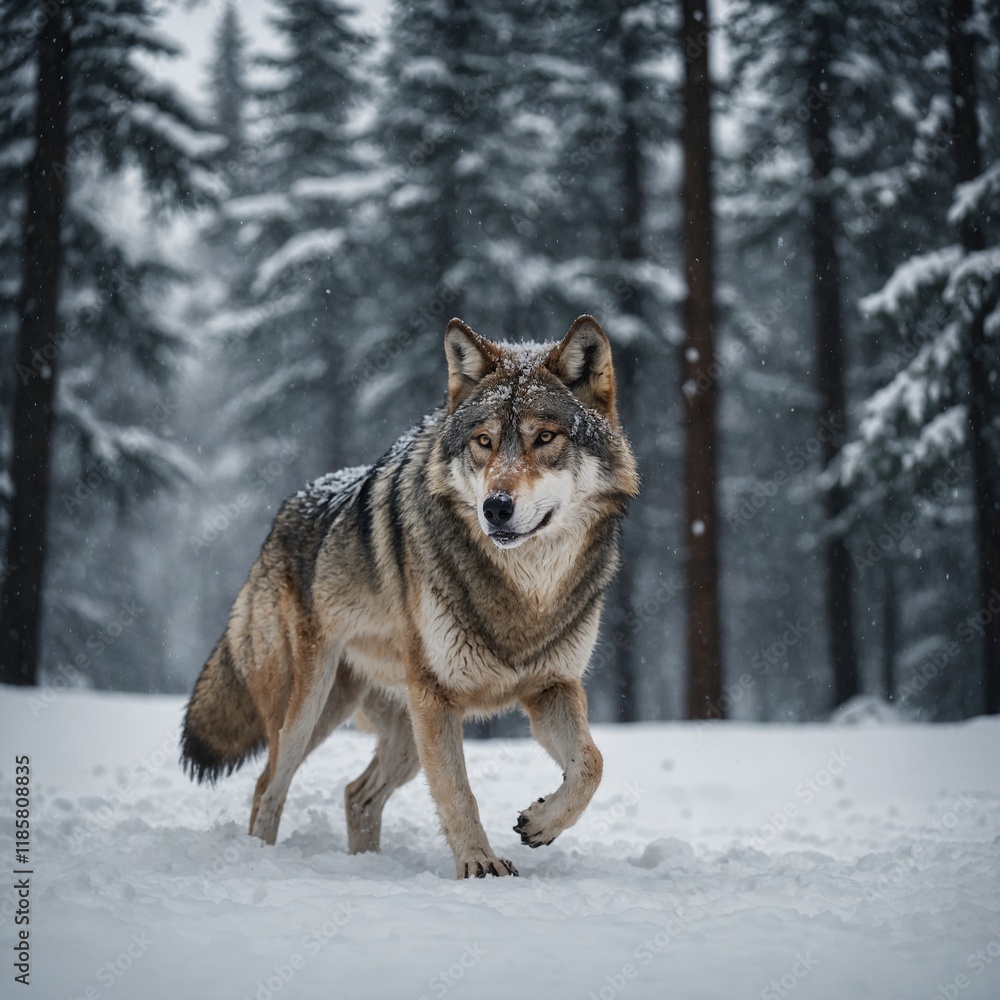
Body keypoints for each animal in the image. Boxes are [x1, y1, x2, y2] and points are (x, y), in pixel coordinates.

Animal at [180, 315, 639, 878]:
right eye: (484, 441)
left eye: (545, 437)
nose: (496, 508)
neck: (524, 591)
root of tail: (276, 523)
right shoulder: (437, 696)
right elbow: (459, 792)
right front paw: (480, 865)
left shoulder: (552, 686)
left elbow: (592, 765)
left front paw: (540, 823)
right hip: (310, 706)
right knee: (269, 785)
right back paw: (263, 860)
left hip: (397, 726)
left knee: (356, 793)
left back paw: (366, 864)